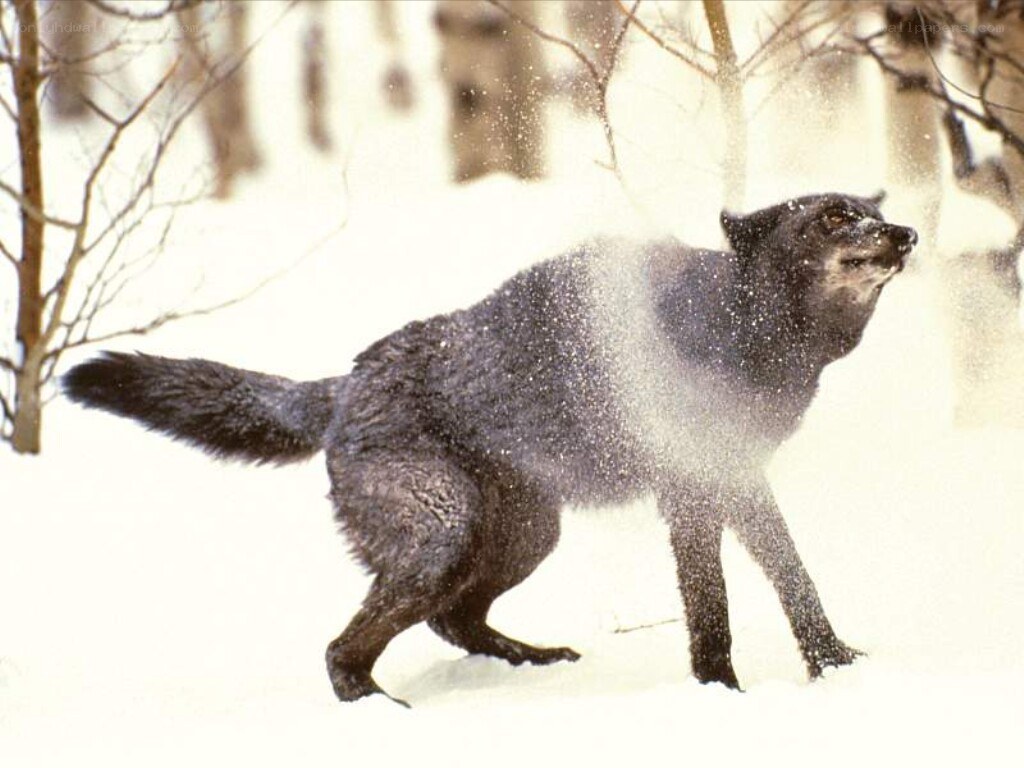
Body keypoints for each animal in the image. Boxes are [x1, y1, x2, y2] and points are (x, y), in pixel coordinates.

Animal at [64, 192, 917, 705]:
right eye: (832, 218)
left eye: (868, 210)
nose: (905, 232)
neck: (740, 328)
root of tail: (345, 385)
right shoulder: (692, 494)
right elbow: (712, 610)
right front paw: (719, 693)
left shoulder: (737, 481)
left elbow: (796, 581)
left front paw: (836, 666)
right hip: (442, 537)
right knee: (344, 649)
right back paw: (383, 711)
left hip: (523, 537)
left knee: (453, 622)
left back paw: (531, 660)